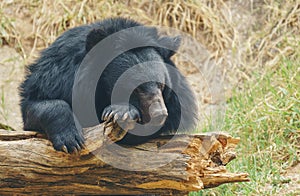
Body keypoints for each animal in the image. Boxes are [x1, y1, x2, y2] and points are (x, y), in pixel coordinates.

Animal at [18, 17, 197, 153]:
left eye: (161, 85)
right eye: (136, 88)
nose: (159, 114)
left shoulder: (174, 106)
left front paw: (119, 112)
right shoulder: (54, 77)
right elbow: (37, 105)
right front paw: (71, 140)